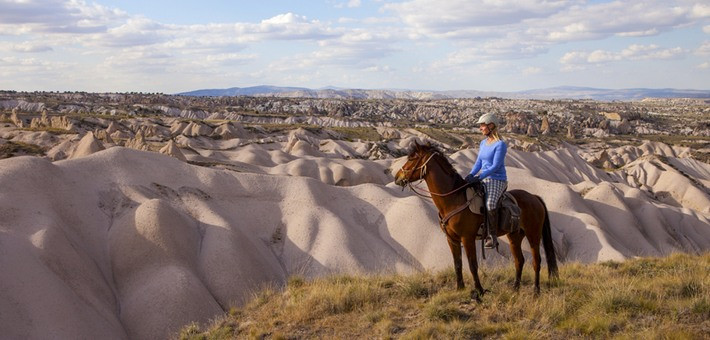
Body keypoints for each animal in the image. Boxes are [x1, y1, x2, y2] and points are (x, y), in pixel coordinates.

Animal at [394, 142, 556, 298]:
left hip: (533, 234)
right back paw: (515, 289)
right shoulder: (452, 239)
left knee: (536, 261)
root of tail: (534, 197)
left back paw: (536, 291)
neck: (453, 199)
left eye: (412, 158)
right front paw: (460, 288)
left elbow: (472, 265)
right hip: (515, 236)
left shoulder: (467, 238)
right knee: (519, 260)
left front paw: (479, 291)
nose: (397, 178)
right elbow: (458, 264)